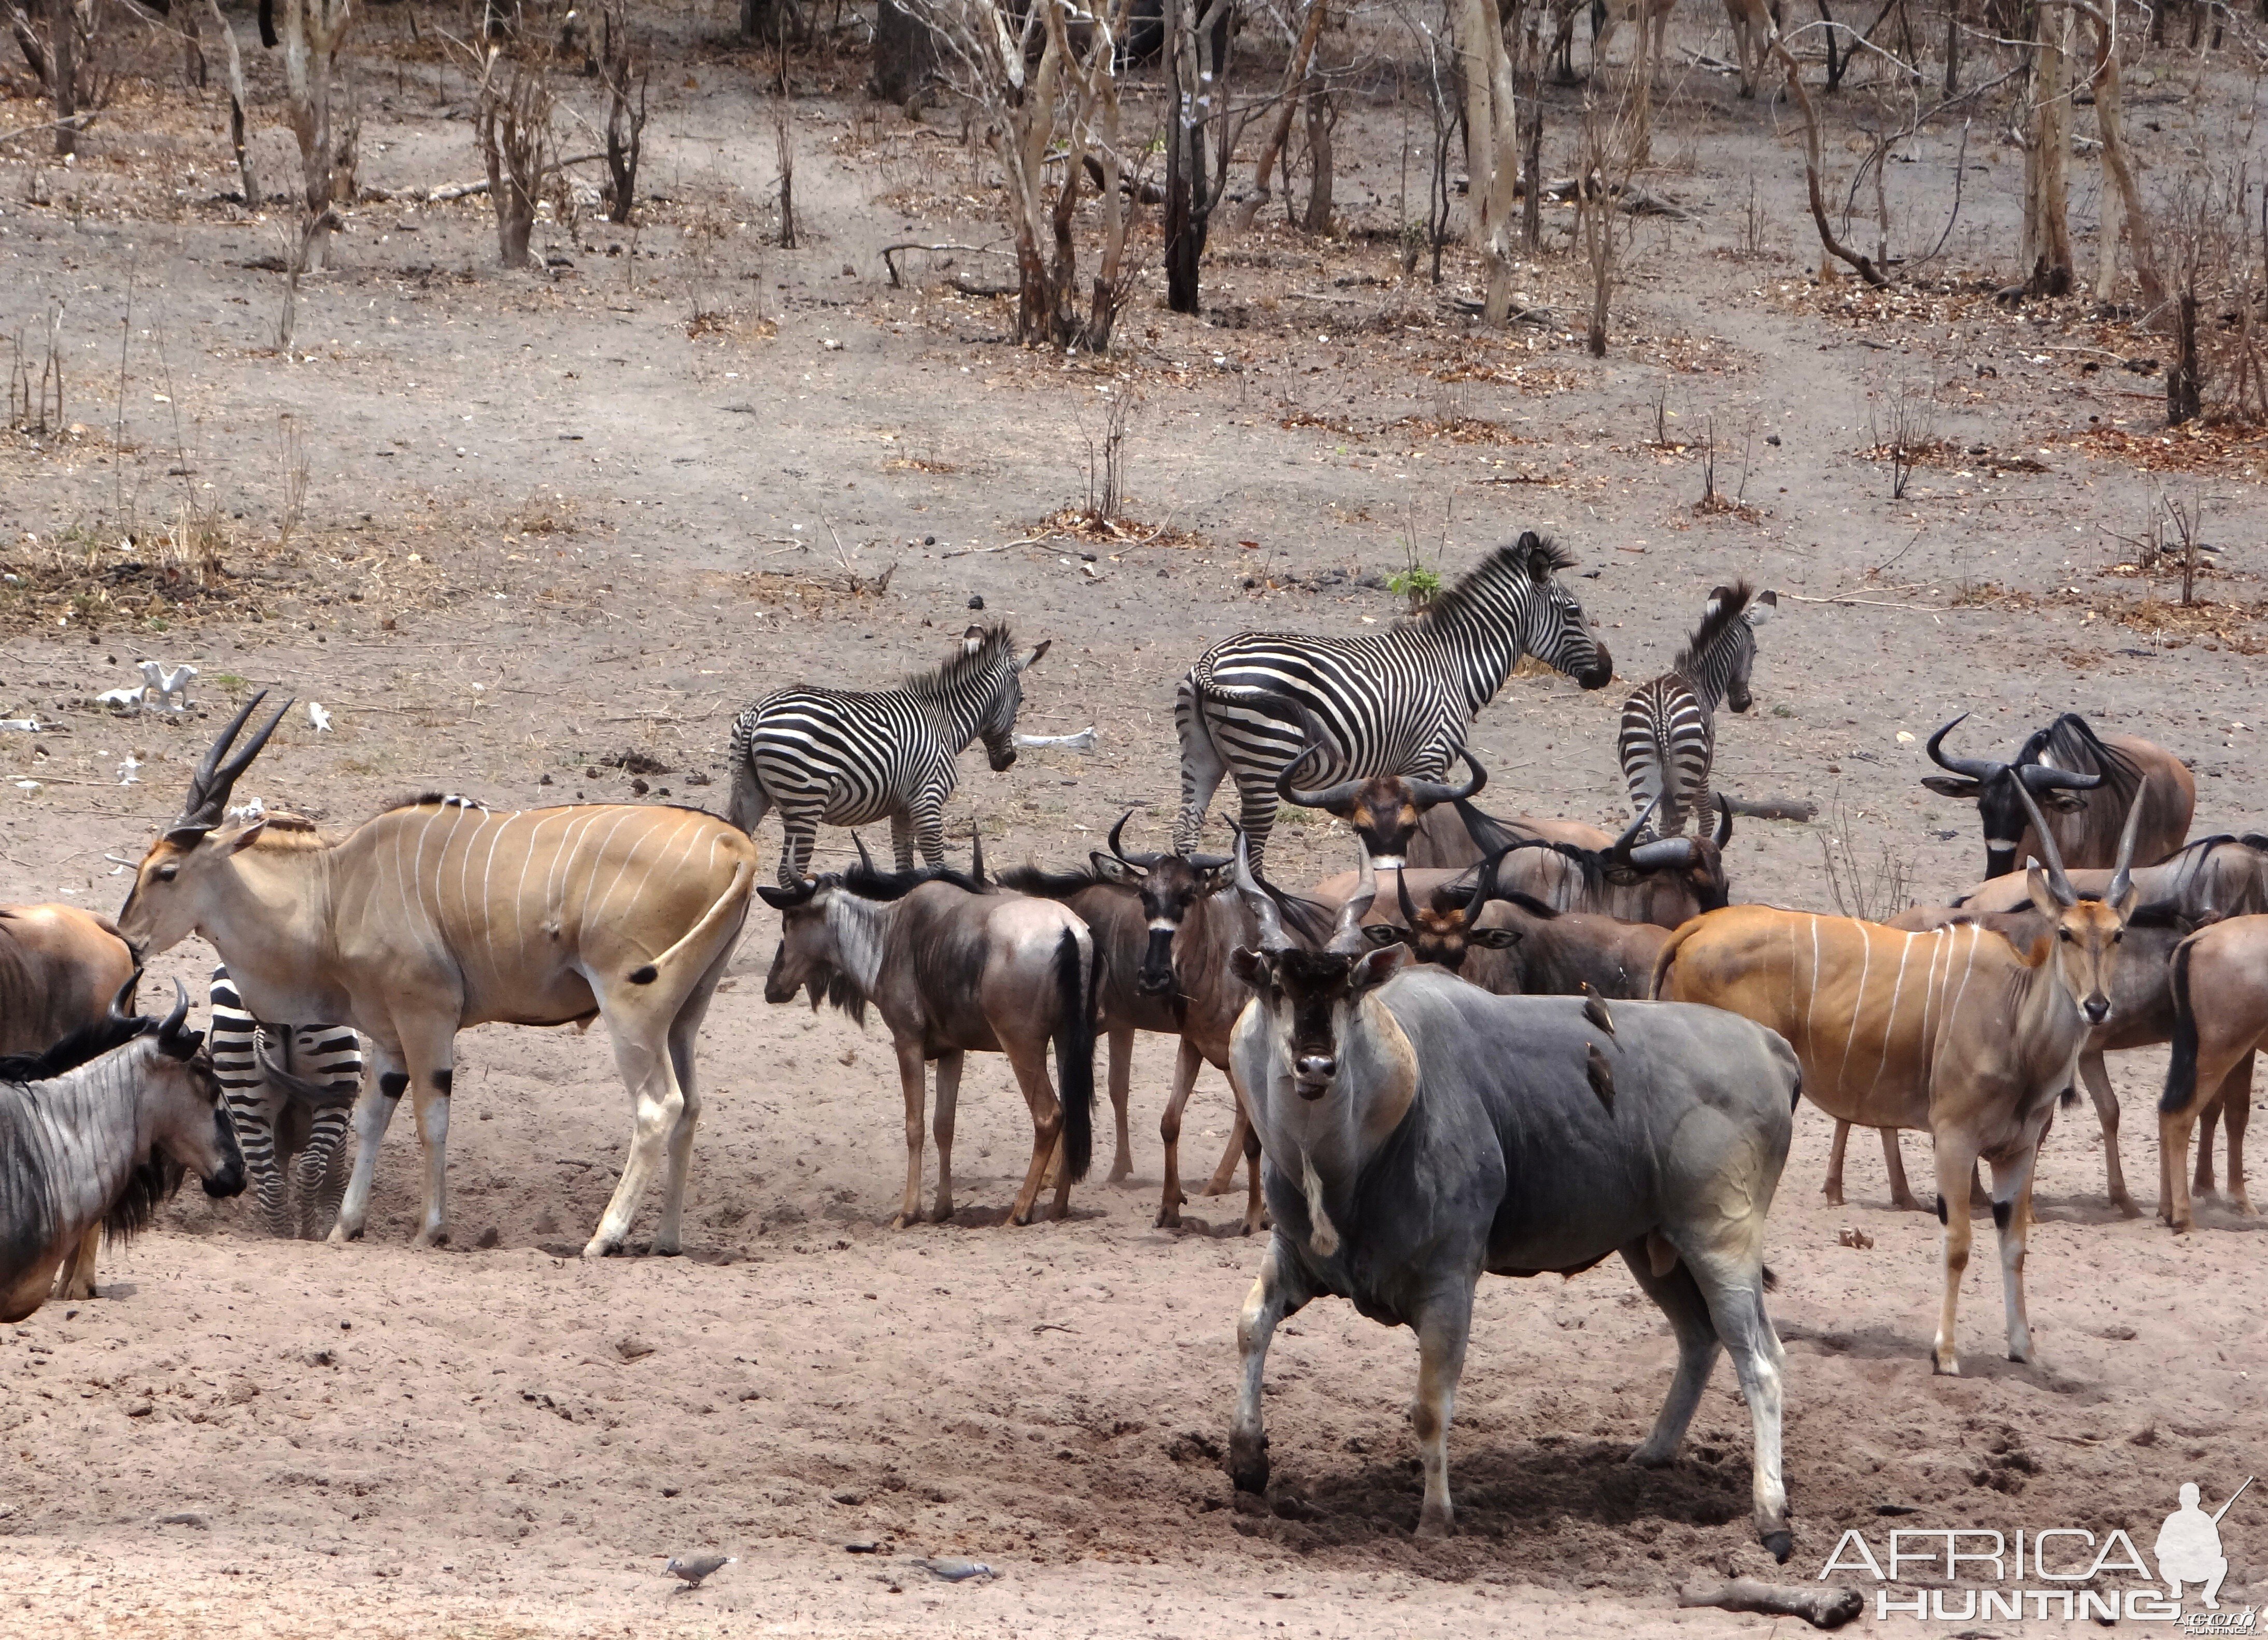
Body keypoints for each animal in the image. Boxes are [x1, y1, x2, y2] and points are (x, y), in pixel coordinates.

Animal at [730, 626, 1047, 885]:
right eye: (1021, 700)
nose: (1009, 761)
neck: (945, 721)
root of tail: (757, 712)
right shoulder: (927, 800)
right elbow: (937, 866)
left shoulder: (903, 808)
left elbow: (905, 869)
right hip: (805, 803)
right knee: (788, 874)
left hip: (752, 792)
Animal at [1170, 535, 1614, 871]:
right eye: (1574, 612)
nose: (1607, 671)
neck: (1456, 666)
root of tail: (1211, 658)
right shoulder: (1429, 761)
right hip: (1264, 759)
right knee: (1252, 847)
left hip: (1202, 756)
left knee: (1185, 832)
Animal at [1234, 848, 1796, 1551]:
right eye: (1275, 987)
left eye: (1348, 991)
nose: (1315, 1067)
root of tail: (1773, 1050)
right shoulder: (1295, 1256)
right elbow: (1251, 1326)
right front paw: (1247, 1460)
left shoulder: (1448, 1283)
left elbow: (1430, 1406)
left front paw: (1435, 1517)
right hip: (1652, 1246)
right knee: (1700, 1338)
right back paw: (1650, 1455)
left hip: (1721, 1243)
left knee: (1761, 1360)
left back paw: (1770, 1515)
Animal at [1614, 580, 1769, 839]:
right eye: (1755, 651)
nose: (1744, 704)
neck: (1696, 678)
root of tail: (1660, 713)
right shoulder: (1704, 774)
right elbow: (1706, 820)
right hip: (1685, 773)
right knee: (1673, 829)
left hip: (1642, 770)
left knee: (1647, 830)